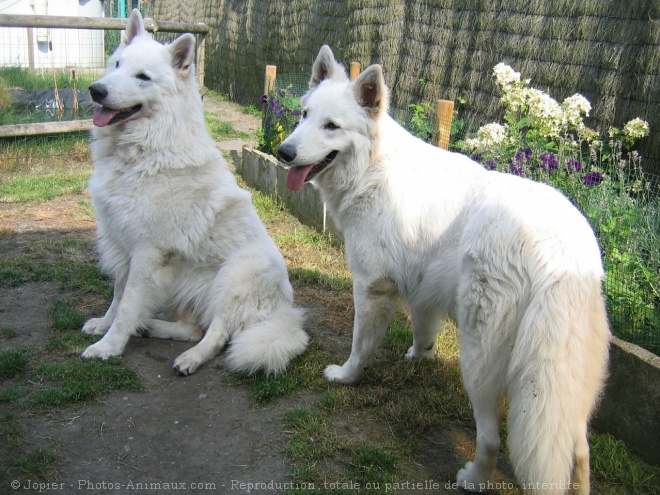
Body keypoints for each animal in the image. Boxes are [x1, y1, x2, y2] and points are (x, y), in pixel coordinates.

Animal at [81, 9, 308, 376]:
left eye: (142, 77)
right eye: (116, 64)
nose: (96, 90)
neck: (146, 149)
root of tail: (284, 311)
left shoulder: (147, 252)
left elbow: (128, 303)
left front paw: (109, 347)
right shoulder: (124, 244)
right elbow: (118, 294)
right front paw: (104, 325)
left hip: (233, 276)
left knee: (216, 334)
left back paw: (190, 358)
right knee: (195, 328)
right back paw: (154, 328)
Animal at [278, 45, 608, 492]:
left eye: (331, 126)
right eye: (304, 114)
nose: (284, 153)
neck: (372, 168)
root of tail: (561, 253)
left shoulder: (371, 288)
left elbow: (361, 345)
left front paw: (347, 375)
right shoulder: (422, 291)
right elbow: (424, 331)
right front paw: (420, 357)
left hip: (480, 358)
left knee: (491, 438)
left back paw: (473, 477)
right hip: (569, 384)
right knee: (577, 449)